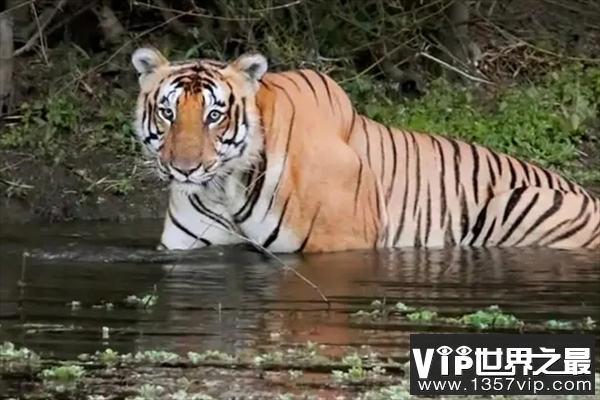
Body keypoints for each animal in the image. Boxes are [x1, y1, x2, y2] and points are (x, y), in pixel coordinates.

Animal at [130, 47, 600, 253]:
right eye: (168, 113)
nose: (185, 169)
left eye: (214, 116)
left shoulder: (342, 243)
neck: (225, 186)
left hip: (517, 203)